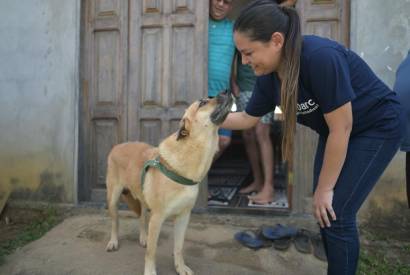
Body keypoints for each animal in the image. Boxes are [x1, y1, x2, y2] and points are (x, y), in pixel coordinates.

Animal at [105, 92, 232, 275]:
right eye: (202, 103)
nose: (227, 91)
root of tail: (117, 146)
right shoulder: (157, 218)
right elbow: (151, 251)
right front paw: (150, 271)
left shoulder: (183, 217)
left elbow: (178, 247)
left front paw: (180, 267)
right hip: (113, 198)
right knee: (115, 221)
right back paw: (113, 241)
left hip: (142, 198)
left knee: (142, 216)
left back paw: (143, 237)